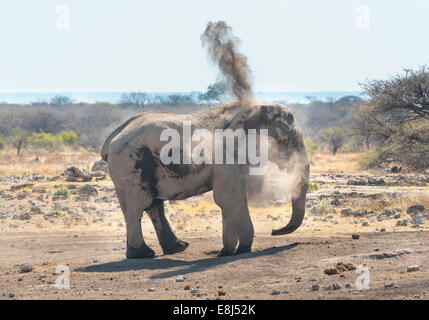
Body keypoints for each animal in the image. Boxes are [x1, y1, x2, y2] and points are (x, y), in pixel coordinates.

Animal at [100, 104, 308, 258]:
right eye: (286, 141)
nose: (274, 231)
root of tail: (110, 140)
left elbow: (230, 200)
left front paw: (227, 252)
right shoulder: (227, 153)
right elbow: (228, 198)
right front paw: (240, 250)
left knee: (154, 205)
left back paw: (177, 248)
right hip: (129, 164)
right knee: (138, 207)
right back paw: (143, 254)